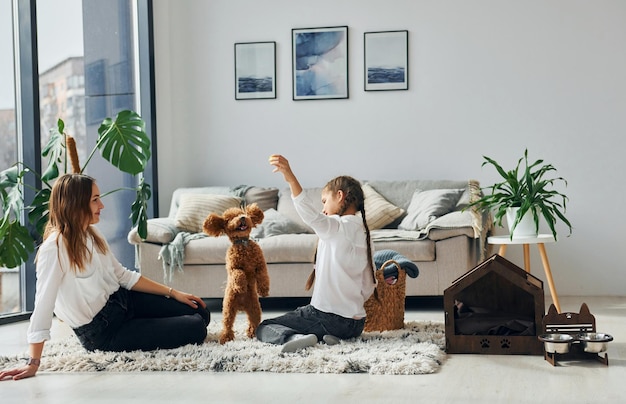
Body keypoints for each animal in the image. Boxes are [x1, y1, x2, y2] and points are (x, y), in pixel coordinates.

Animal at [201, 204, 266, 342]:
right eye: (229, 219)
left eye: (242, 213)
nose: (242, 218)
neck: (243, 243)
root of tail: (241, 306)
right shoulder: (233, 267)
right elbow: (239, 273)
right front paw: (241, 286)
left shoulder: (260, 265)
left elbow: (263, 276)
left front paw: (264, 290)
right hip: (229, 308)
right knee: (227, 323)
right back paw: (226, 338)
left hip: (255, 308)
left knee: (253, 321)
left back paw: (253, 334)